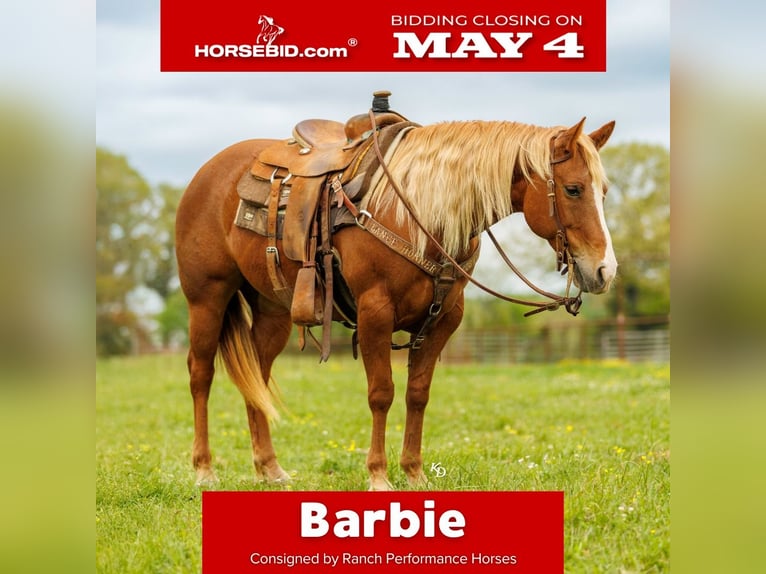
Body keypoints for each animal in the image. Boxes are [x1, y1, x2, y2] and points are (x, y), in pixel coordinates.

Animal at [175, 112, 617, 491]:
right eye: (573, 189)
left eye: (604, 191)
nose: (605, 270)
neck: (419, 211)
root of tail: (206, 173)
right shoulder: (375, 312)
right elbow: (382, 393)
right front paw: (378, 475)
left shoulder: (444, 319)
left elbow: (417, 394)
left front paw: (414, 473)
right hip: (207, 298)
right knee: (201, 374)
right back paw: (204, 469)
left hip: (274, 310)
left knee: (258, 375)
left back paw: (269, 468)